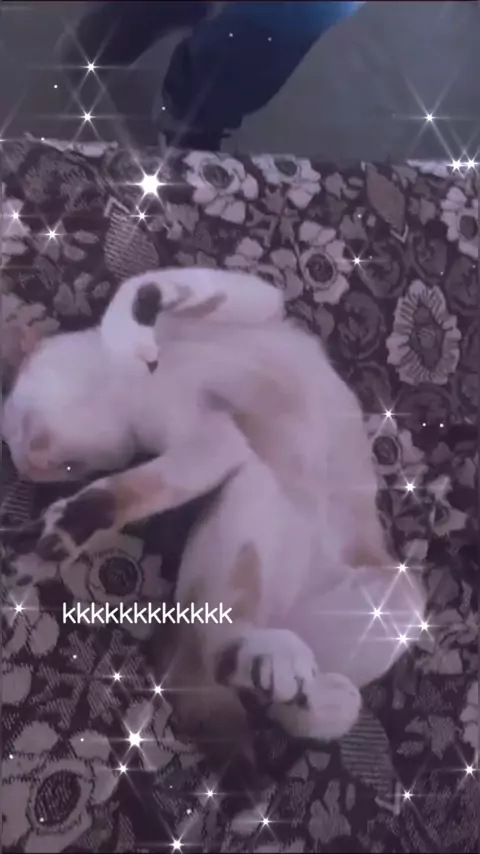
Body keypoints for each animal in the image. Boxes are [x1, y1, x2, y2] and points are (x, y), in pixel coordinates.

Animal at [2, 267, 426, 745]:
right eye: (69, 470)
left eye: (18, 428)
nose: (30, 464)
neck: (134, 385)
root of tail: (278, 616)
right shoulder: (213, 443)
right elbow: (127, 491)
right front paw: (57, 537)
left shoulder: (254, 308)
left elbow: (144, 289)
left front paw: (137, 318)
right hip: (257, 491)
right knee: (222, 658)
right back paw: (279, 672)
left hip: (398, 601)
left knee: (270, 693)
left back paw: (298, 684)